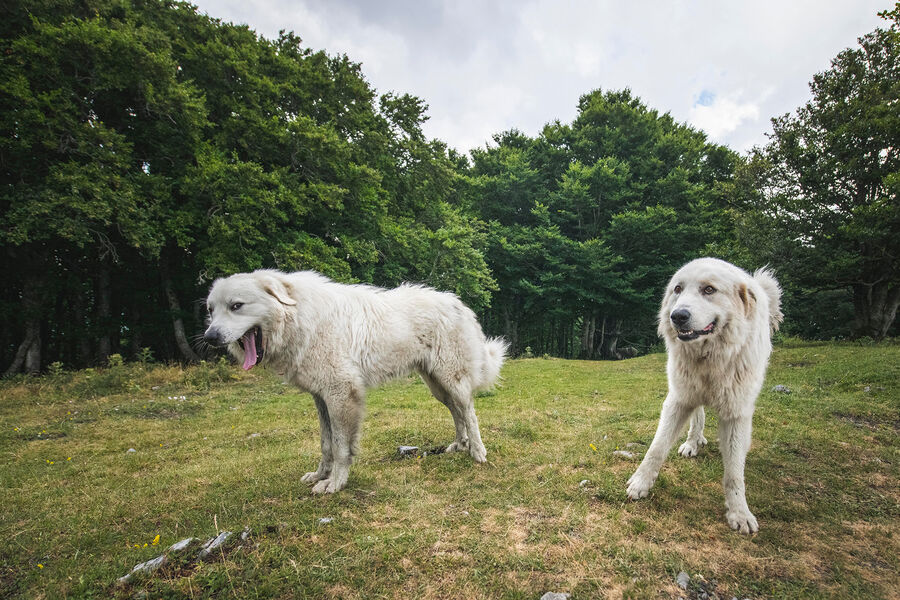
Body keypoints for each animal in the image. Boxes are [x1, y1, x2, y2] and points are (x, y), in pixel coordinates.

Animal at [201, 270, 506, 494]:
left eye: (236, 306)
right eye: (211, 310)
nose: (209, 337)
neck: (298, 316)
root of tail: (460, 304)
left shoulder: (341, 393)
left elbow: (340, 446)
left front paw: (335, 483)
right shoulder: (321, 397)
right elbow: (326, 444)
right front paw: (320, 475)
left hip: (451, 378)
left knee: (469, 411)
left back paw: (478, 451)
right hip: (436, 385)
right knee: (456, 411)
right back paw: (460, 445)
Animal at [624, 258, 784, 536]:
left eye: (709, 289)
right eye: (677, 289)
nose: (677, 316)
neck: (710, 357)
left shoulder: (736, 413)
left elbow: (734, 473)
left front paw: (739, 512)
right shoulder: (679, 400)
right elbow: (656, 448)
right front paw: (640, 483)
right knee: (697, 417)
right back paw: (692, 442)